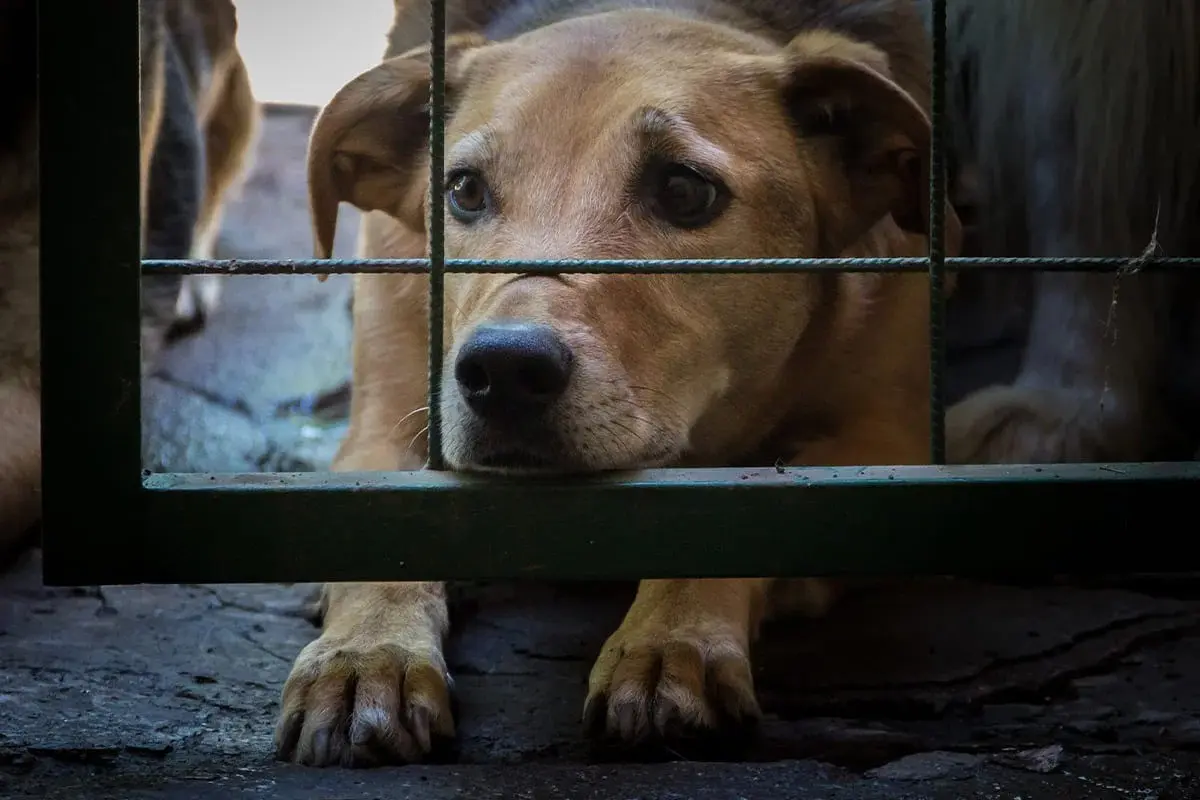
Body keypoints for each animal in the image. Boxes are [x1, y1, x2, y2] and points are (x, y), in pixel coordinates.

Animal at [276, 0, 960, 767]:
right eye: (465, 190)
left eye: (685, 191)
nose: (503, 370)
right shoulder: (387, 425)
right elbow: (378, 533)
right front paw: (366, 656)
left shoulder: (891, 451)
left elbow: (747, 511)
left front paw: (670, 640)